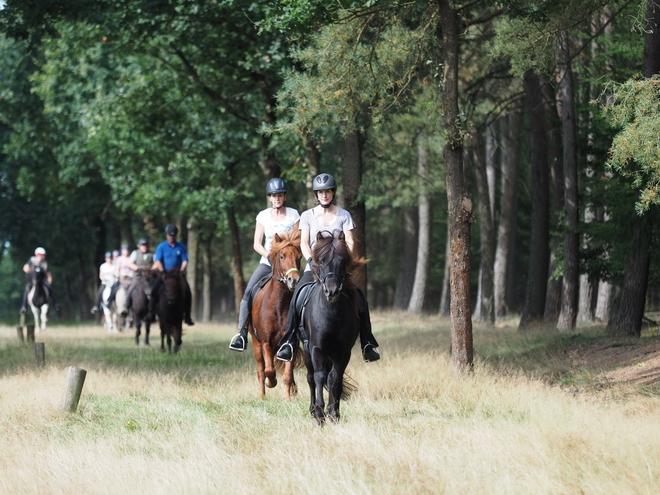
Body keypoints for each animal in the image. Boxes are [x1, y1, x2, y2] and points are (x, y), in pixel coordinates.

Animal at [251, 229, 302, 400]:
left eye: (299, 257)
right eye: (282, 256)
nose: (294, 280)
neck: (278, 305)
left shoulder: (290, 343)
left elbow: (287, 375)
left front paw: (287, 398)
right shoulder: (266, 342)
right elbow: (269, 370)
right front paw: (270, 382)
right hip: (256, 344)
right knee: (261, 370)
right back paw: (262, 395)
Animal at [302, 232, 366, 426]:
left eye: (343, 261)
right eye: (321, 261)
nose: (332, 291)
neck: (332, 314)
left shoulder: (344, 352)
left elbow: (334, 379)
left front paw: (333, 414)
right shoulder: (316, 348)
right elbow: (319, 376)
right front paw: (319, 415)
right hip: (305, 351)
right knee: (310, 377)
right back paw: (312, 410)